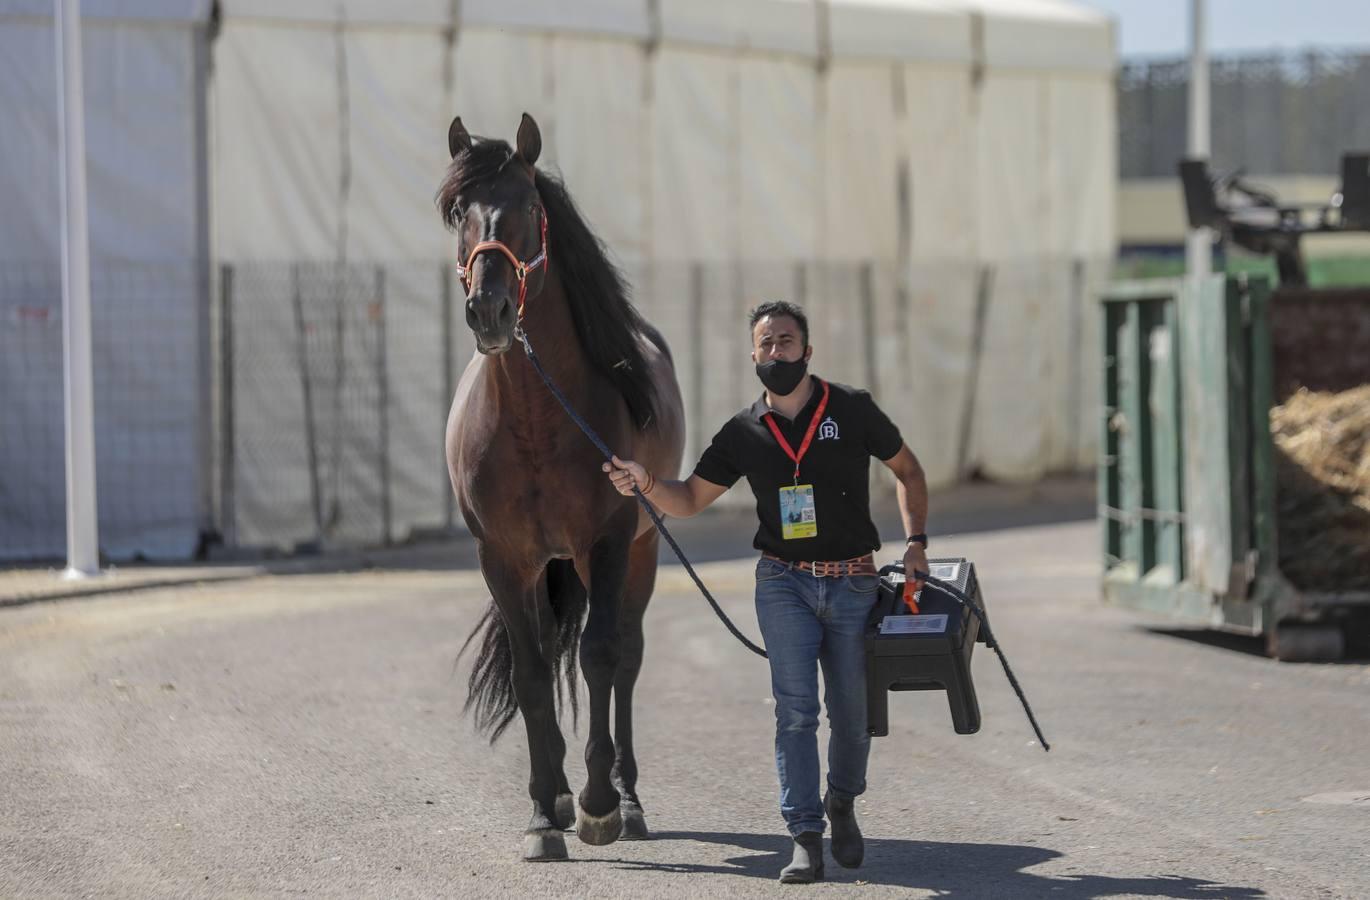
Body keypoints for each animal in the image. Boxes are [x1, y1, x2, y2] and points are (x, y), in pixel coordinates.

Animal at [438, 115, 685, 860]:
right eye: (458, 212)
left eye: (527, 205)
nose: (488, 310)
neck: (535, 420)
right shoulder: (503, 559)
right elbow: (531, 675)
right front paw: (544, 814)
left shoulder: (605, 544)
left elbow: (602, 657)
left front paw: (600, 807)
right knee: (551, 657)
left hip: (639, 554)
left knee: (625, 656)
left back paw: (626, 800)